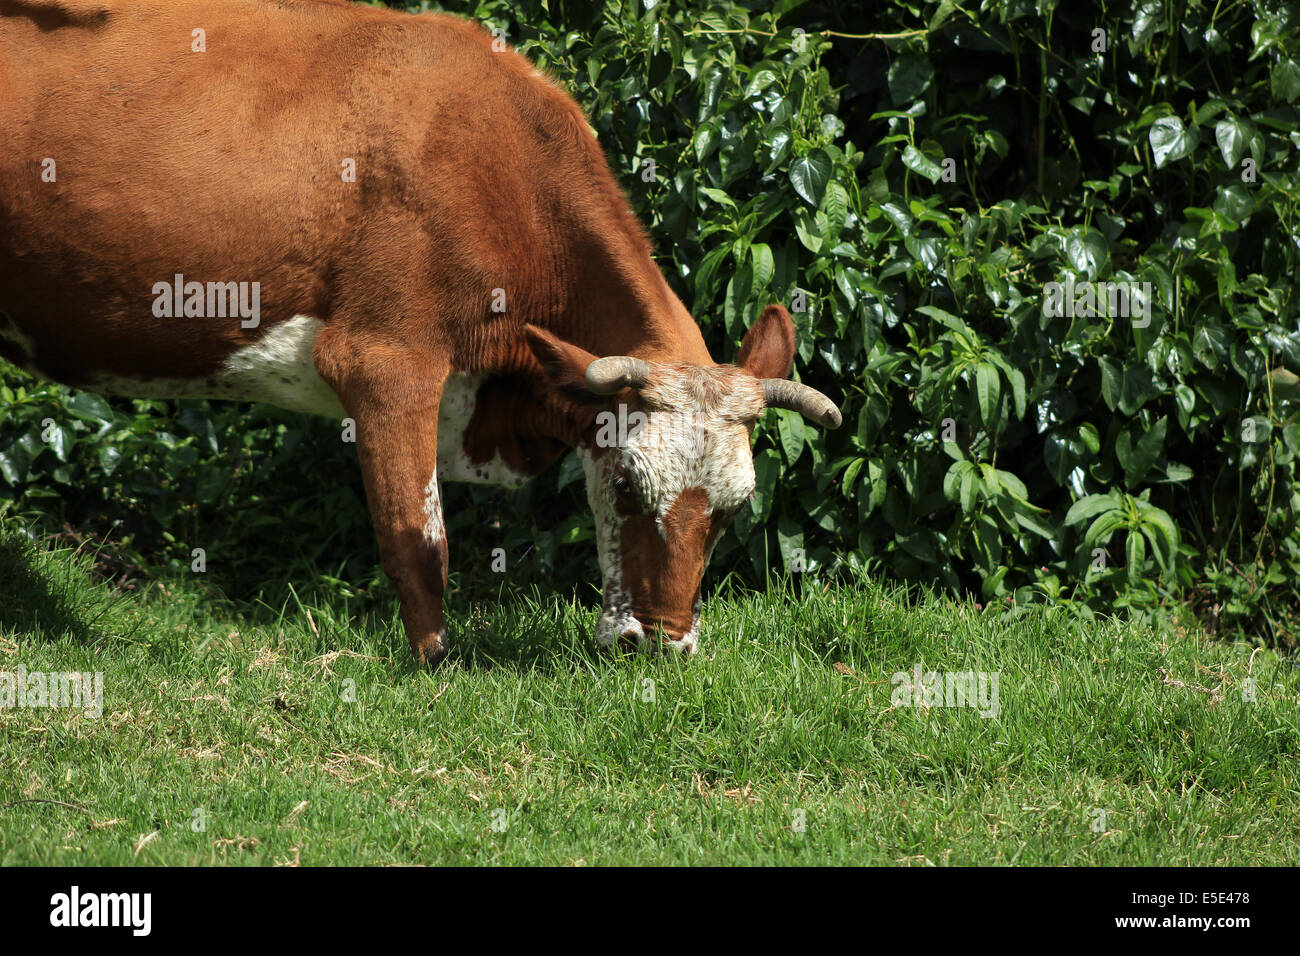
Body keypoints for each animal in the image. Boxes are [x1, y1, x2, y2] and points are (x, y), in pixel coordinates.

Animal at [0, 0, 842, 666]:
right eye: (630, 484)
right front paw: (435, 663)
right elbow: (419, 540)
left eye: (735, 508)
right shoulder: (383, 358)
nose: (662, 645)